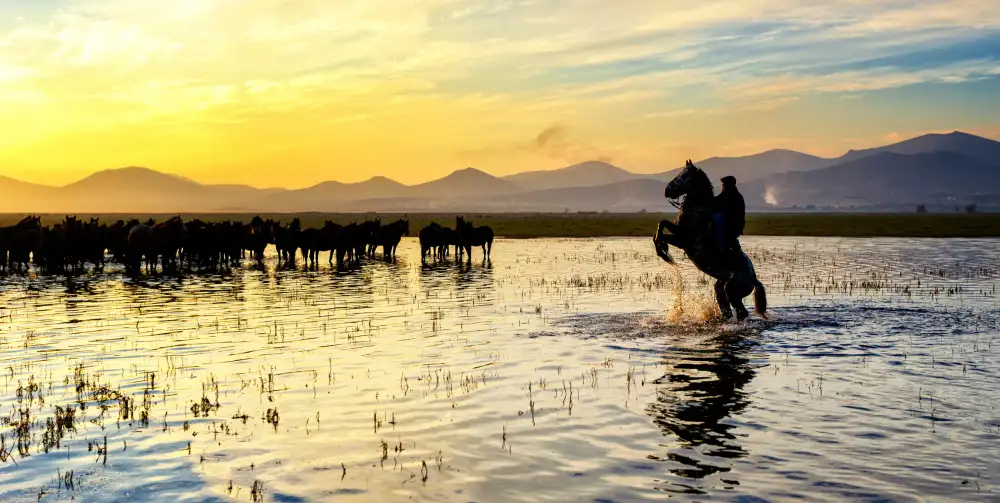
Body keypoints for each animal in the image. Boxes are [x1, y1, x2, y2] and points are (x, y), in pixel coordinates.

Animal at [653, 159, 767, 322]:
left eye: (684, 176)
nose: (666, 191)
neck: (698, 211)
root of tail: (754, 279)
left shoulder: (684, 240)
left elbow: (663, 231)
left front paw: (664, 253)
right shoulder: (679, 232)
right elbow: (661, 225)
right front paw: (663, 250)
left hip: (732, 290)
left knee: (741, 312)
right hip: (720, 286)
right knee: (727, 309)